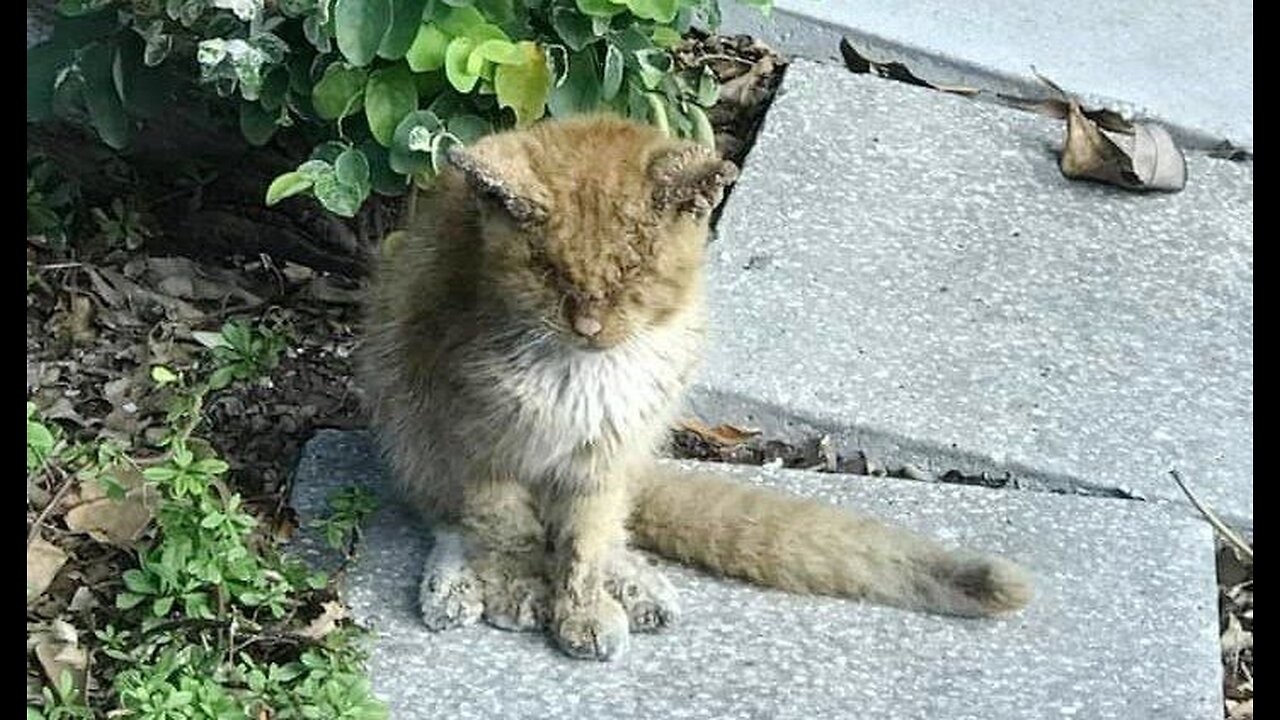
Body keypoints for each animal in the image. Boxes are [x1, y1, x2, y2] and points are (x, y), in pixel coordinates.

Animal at [358, 114, 1029, 661]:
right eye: (547, 270)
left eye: (632, 270)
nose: (588, 325)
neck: (582, 376)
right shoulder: (473, 441)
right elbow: (506, 529)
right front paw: (522, 585)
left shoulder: (606, 453)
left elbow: (585, 540)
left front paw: (583, 606)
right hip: (404, 414)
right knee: (443, 515)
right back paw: (459, 581)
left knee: (612, 527)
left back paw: (632, 583)